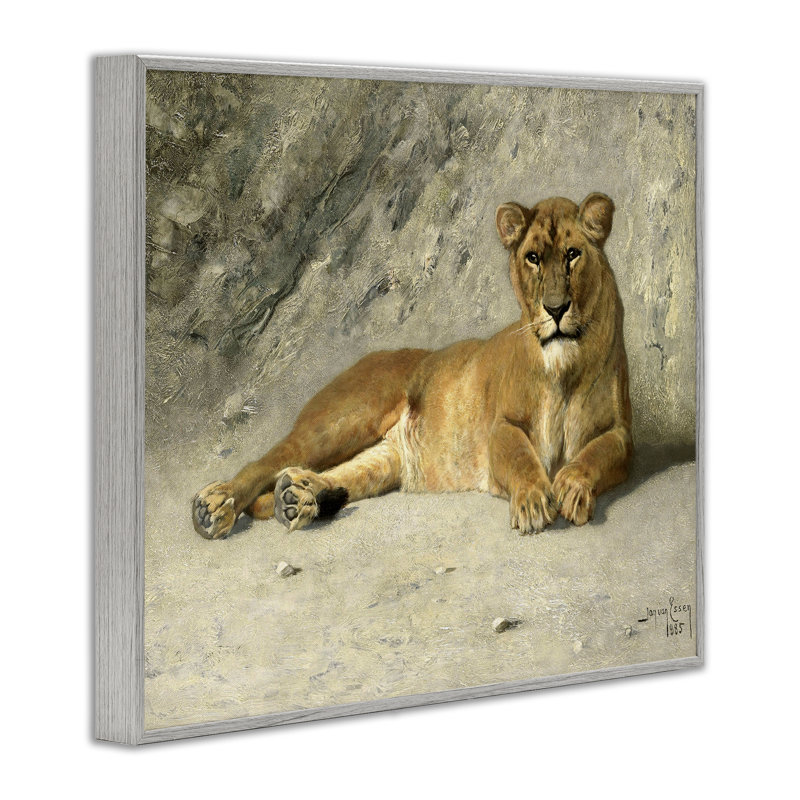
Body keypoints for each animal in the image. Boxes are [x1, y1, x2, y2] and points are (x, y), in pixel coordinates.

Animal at [192, 193, 632, 540]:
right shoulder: (501, 426)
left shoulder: (621, 433)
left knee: (338, 475)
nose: (556, 309)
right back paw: (215, 507)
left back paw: (298, 498)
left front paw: (572, 486)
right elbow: (521, 455)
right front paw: (532, 501)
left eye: (573, 254)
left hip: (386, 459)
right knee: (269, 461)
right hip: (343, 420)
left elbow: (597, 454)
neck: (564, 367)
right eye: (534, 258)